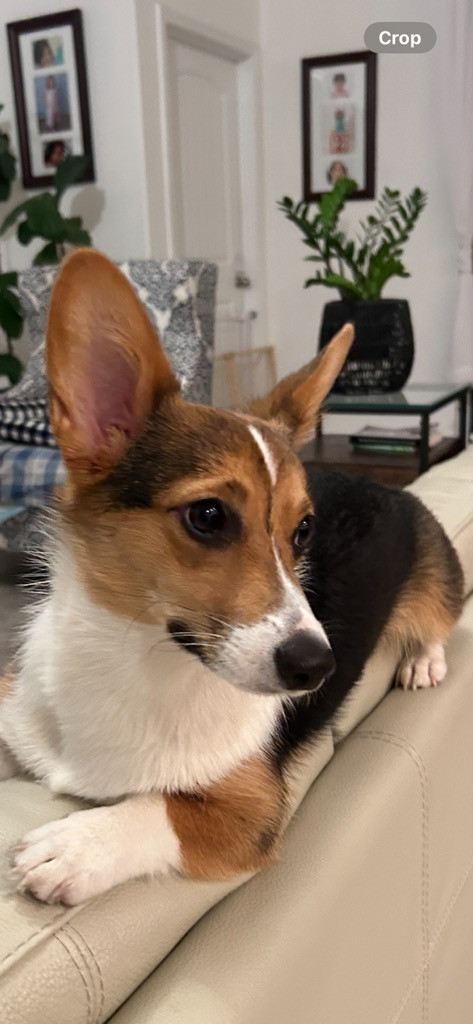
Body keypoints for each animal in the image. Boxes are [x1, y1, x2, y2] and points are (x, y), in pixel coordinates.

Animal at [0, 250, 463, 906]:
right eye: (208, 515)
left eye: (303, 529)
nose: (318, 668)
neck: (139, 661)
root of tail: (385, 486)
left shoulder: (247, 810)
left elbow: (155, 808)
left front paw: (77, 844)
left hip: (434, 585)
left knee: (439, 620)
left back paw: (422, 661)